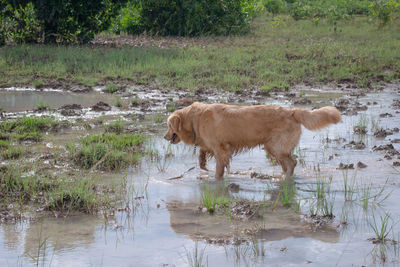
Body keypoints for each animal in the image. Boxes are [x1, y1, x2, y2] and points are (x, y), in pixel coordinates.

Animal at [164, 102, 340, 180]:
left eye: (168, 126)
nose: (164, 137)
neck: (195, 119)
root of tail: (292, 111)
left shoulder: (221, 149)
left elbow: (219, 169)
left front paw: (216, 179)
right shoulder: (213, 146)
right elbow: (202, 156)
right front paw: (203, 165)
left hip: (275, 147)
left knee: (291, 163)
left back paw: (286, 179)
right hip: (273, 148)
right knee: (289, 163)